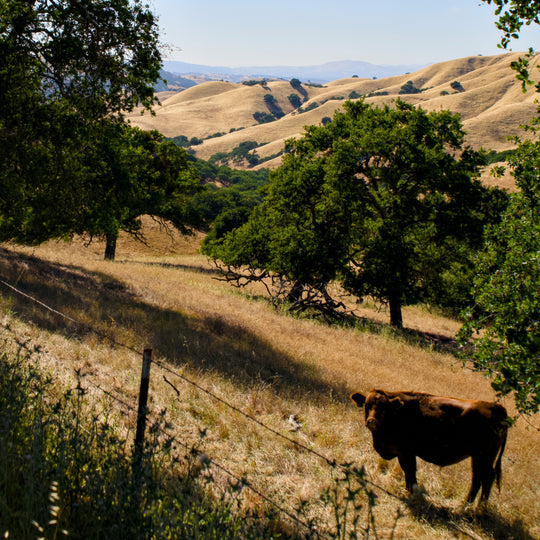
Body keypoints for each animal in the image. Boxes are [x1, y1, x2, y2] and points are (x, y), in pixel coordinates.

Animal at [352, 390, 508, 504]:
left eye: (384, 408)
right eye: (366, 405)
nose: (371, 421)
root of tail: (495, 407)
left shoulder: (406, 452)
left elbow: (410, 471)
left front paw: (412, 493)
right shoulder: (403, 453)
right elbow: (407, 472)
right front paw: (408, 490)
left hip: (484, 457)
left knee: (487, 478)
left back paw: (478, 508)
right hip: (477, 457)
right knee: (477, 479)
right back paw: (465, 505)